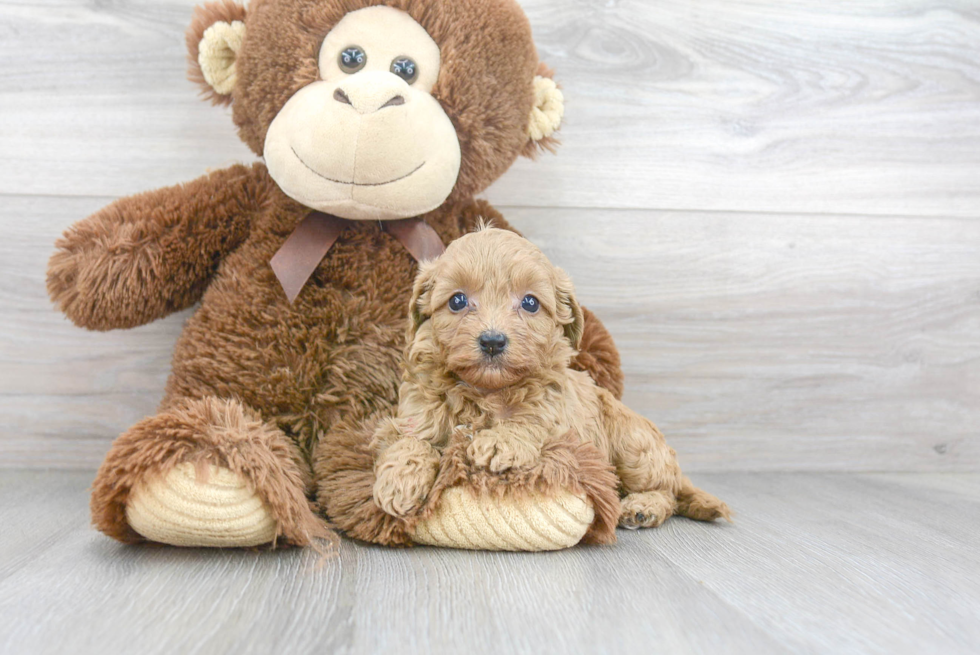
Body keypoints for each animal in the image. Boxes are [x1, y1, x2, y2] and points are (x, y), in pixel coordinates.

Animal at [372, 228, 732, 532]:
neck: (486, 391)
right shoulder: (414, 417)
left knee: (667, 491)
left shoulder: (558, 414)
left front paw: (500, 441)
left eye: (530, 302)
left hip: (633, 447)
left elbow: (531, 421)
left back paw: (644, 507)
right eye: (457, 300)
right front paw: (400, 480)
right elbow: (411, 440)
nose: (492, 341)